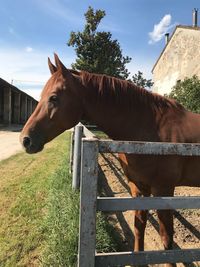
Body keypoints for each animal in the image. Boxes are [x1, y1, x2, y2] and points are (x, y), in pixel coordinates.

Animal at [19, 53, 200, 266]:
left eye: (54, 97)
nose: (25, 140)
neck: (150, 131)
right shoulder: (138, 187)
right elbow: (139, 227)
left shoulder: (164, 190)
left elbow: (167, 240)